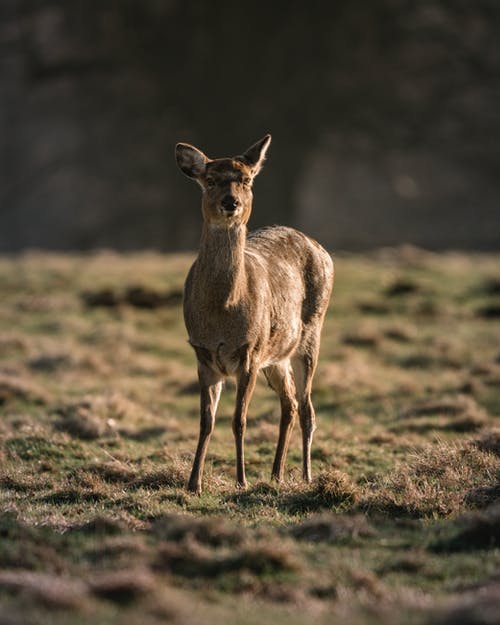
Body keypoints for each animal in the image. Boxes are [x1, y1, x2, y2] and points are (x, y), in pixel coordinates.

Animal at [174, 135, 334, 492]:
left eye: (246, 179)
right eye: (210, 180)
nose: (230, 202)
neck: (222, 311)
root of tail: (320, 247)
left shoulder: (249, 352)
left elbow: (239, 421)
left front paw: (242, 480)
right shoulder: (203, 355)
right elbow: (206, 422)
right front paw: (193, 483)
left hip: (309, 335)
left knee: (307, 407)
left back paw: (306, 475)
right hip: (275, 357)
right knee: (289, 404)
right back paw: (275, 474)